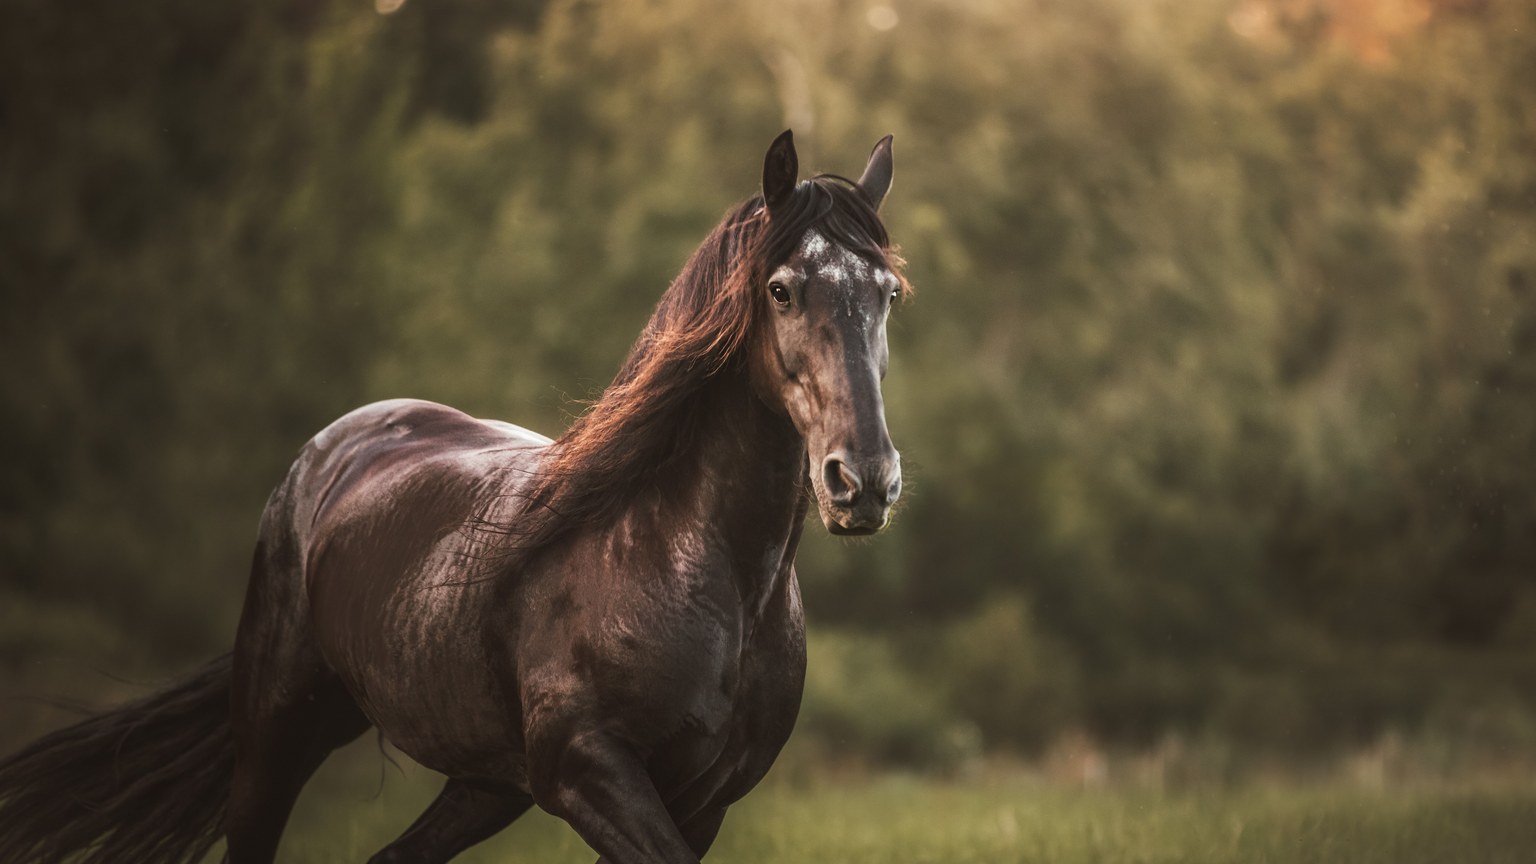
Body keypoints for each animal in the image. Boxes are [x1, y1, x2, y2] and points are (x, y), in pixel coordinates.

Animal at [0, 130, 910, 863]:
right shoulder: (588, 771)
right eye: (782, 288)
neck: (692, 563)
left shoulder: (703, 798)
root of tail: (330, 451)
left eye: (888, 293)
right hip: (275, 733)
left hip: (482, 781)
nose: (863, 481)